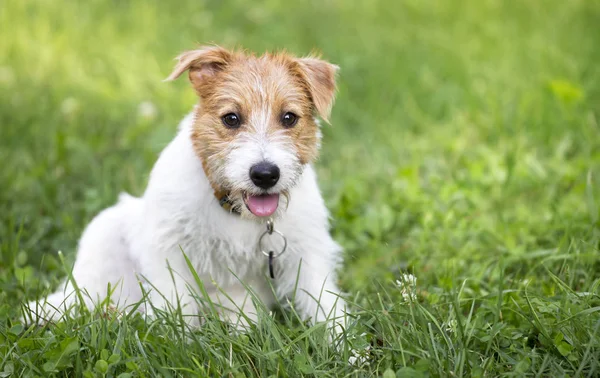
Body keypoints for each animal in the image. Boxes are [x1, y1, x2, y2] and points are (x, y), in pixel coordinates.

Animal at [27, 46, 346, 336]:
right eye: (231, 118)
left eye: (289, 118)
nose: (265, 174)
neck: (233, 209)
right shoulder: (168, 247)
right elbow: (176, 303)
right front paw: (180, 342)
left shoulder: (307, 253)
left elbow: (326, 304)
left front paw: (346, 350)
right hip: (104, 235)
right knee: (86, 296)